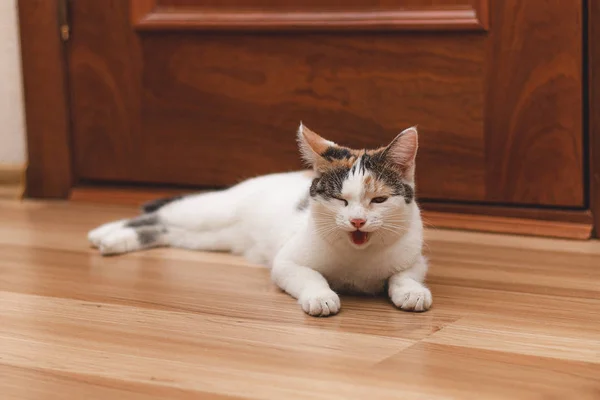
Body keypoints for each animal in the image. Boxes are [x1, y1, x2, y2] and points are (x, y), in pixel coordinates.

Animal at [88, 123, 432, 318]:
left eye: (379, 200)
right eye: (340, 200)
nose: (358, 221)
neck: (359, 256)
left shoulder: (415, 257)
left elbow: (405, 275)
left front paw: (411, 292)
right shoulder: (287, 261)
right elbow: (310, 276)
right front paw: (321, 297)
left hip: (204, 237)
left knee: (165, 230)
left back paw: (115, 239)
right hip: (210, 212)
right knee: (161, 213)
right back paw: (105, 232)